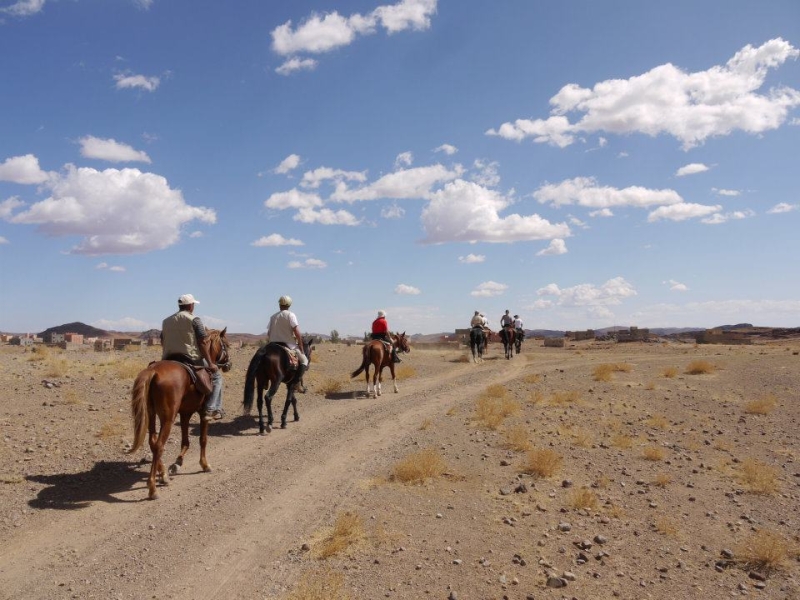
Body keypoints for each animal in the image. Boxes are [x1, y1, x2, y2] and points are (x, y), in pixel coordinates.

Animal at [126, 326, 230, 500]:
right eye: (227, 345)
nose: (228, 364)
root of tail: (153, 371)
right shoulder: (202, 414)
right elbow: (203, 439)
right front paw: (205, 464)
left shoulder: (185, 413)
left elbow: (185, 441)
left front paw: (177, 463)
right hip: (168, 418)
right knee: (159, 445)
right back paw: (153, 488)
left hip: (151, 415)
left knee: (153, 442)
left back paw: (163, 475)